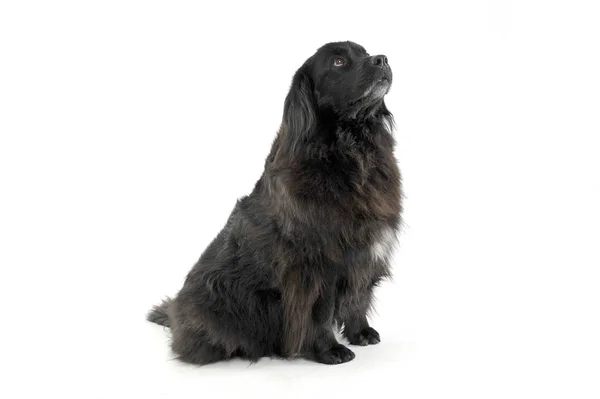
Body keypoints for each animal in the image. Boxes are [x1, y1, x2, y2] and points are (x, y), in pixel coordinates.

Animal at [148, 40, 404, 366]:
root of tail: (177, 312)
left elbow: (359, 296)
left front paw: (361, 333)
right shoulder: (316, 263)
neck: (351, 147)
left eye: (365, 52)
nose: (381, 59)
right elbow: (319, 311)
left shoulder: (365, 253)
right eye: (337, 62)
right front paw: (329, 349)